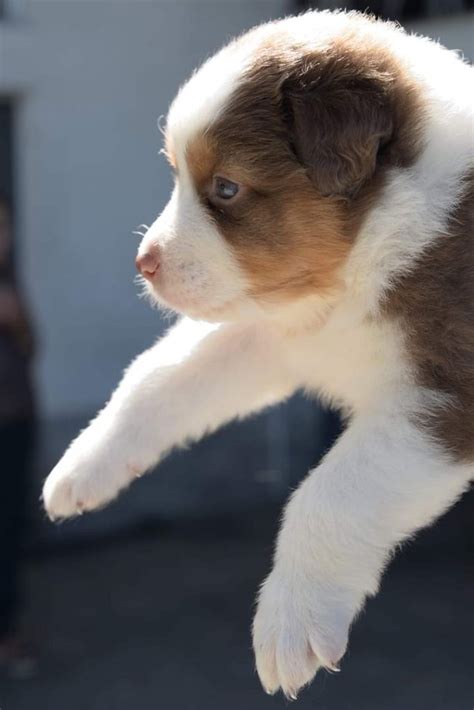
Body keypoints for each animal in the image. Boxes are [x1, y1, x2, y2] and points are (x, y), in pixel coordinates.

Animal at [42, 9, 472, 700]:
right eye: (180, 175)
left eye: (225, 188)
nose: (144, 263)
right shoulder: (274, 326)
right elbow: (158, 377)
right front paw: (85, 465)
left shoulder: (445, 390)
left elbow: (330, 492)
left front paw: (291, 625)